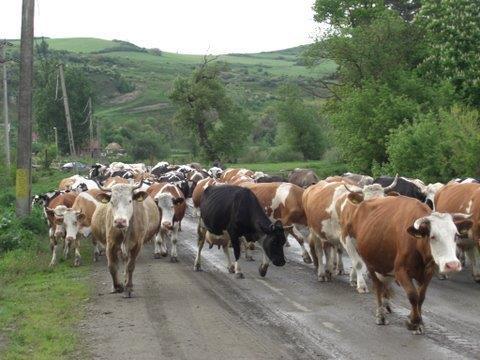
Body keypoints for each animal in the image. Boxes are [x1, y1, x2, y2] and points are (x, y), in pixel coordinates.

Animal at [344, 195, 470, 334]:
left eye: (456, 235)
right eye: (432, 236)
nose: (452, 265)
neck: (417, 244)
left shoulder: (428, 271)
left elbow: (421, 297)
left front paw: (417, 320)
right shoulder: (400, 271)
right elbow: (413, 295)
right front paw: (414, 322)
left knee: (385, 284)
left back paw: (387, 304)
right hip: (369, 262)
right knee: (378, 287)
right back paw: (381, 315)